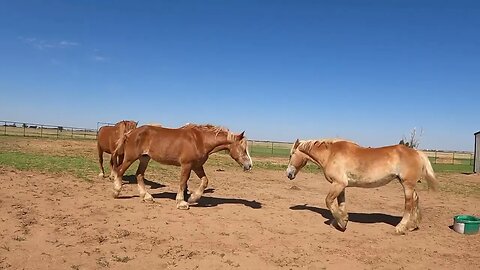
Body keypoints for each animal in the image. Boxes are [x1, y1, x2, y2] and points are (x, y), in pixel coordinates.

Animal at [284, 139, 438, 234]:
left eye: (291, 154)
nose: (288, 174)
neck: (331, 154)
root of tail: (417, 152)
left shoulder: (338, 183)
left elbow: (329, 201)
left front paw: (342, 223)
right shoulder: (341, 185)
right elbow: (340, 204)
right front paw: (341, 220)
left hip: (407, 185)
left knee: (409, 205)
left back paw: (400, 228)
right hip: (406, 184)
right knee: (416, 200)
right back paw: (412, 226)